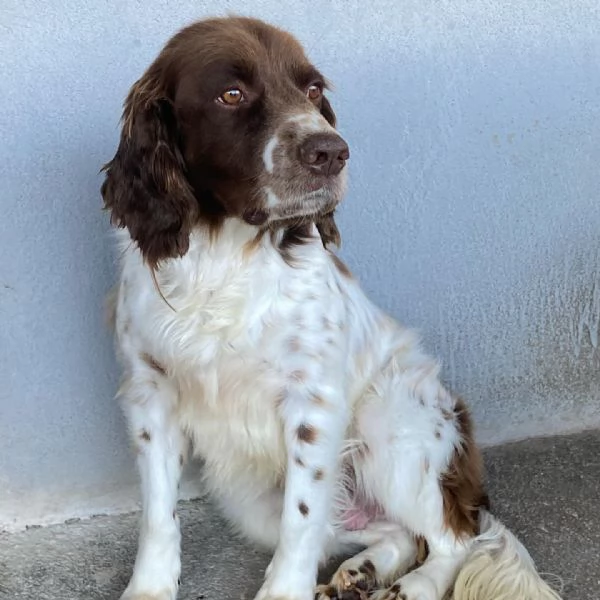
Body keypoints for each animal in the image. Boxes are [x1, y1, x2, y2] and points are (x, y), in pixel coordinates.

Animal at [102, 14, 564, 600]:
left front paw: (283, 593)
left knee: (457, 537)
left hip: (389, 419)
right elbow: (158, 514)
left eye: (313, 90)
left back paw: (413, 586)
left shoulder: (314, 404)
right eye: (231, 94)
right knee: (391, 531)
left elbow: (300, 523)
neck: (225, 254)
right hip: (249, 501)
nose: (331, 151)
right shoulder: (150, 396)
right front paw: (150, 587)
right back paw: (361, 571)